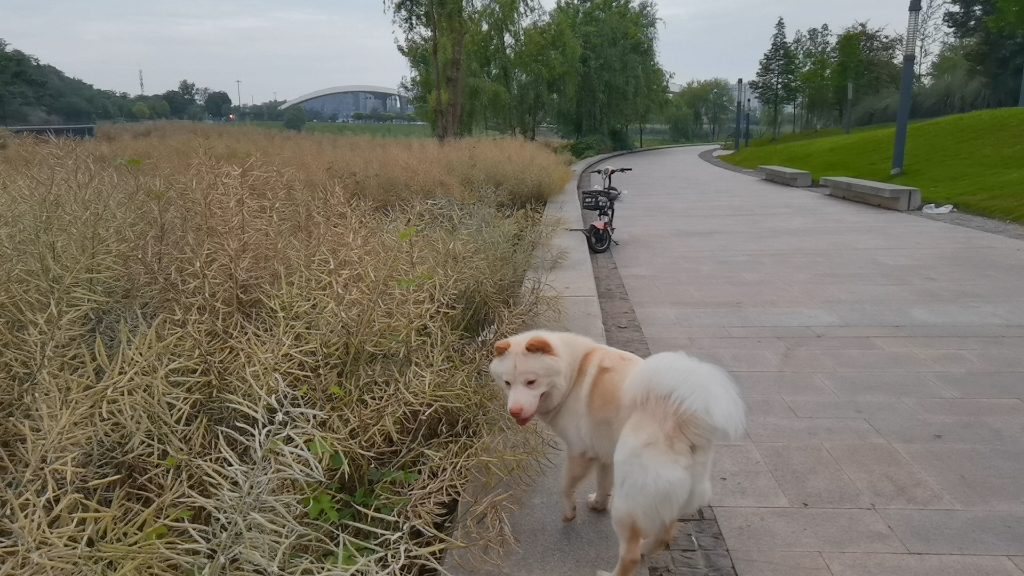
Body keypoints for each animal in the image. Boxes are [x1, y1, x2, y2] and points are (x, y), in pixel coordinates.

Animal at [487, 330, 745, 573]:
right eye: (508, 383)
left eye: (531, 382)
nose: (514, 411)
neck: (573, 373)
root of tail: (685, 423)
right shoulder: (605, 453)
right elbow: (603, 483)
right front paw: (598, 504)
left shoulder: (579, 452)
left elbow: (565, 486)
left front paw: (570, 513)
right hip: (673, 498)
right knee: (664, 534)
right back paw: (645, 548)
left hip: (627, 504)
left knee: (630, 555)